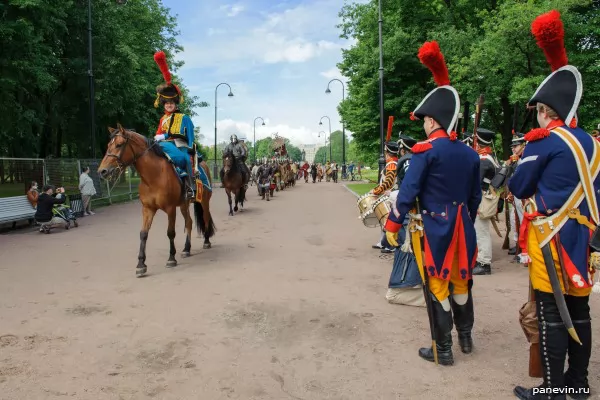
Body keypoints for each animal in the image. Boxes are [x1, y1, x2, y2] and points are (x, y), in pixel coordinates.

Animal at [98, 123, 218, 276]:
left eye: (119, 145)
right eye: (108, 145)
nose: (102, 171)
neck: (153, 176)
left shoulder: (170, 208)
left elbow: (170, 232)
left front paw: (171, 258)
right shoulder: (148, 209)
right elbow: (143, 234)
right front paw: (141, 264)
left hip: (204, 201)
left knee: (206, 218)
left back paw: (206, 241)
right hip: (184, 205)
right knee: (189, 222)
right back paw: (186, 249)